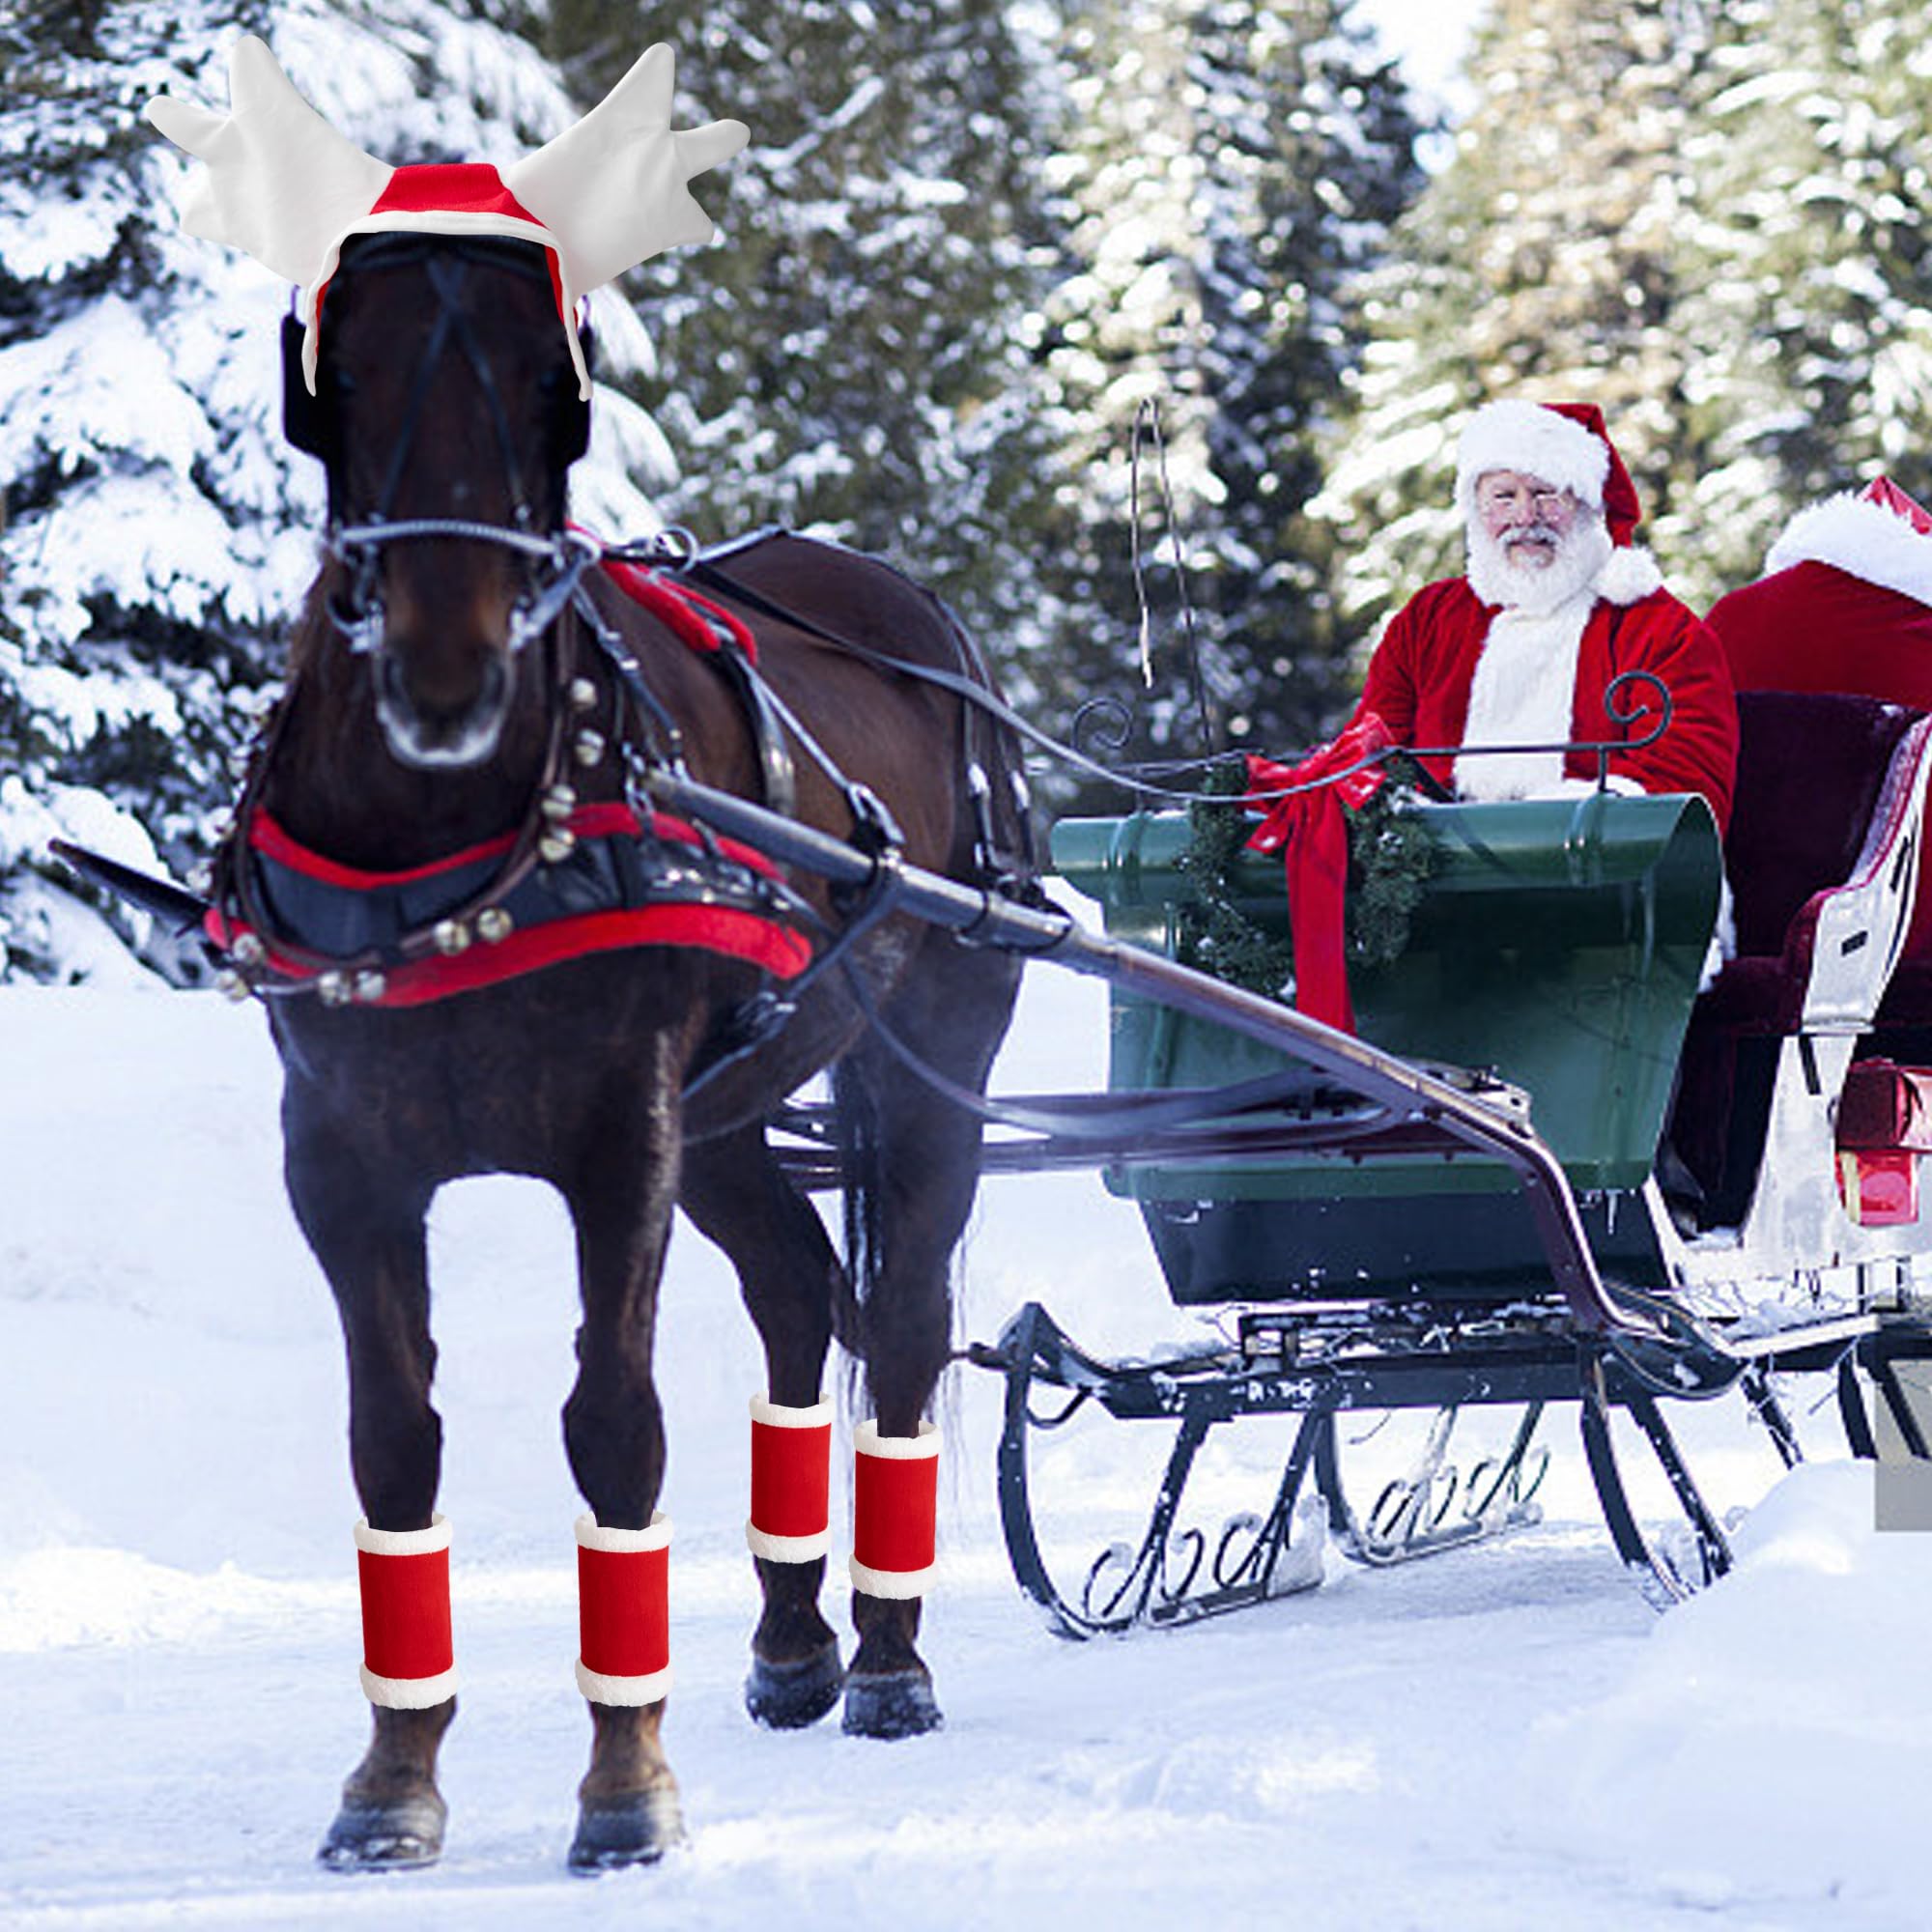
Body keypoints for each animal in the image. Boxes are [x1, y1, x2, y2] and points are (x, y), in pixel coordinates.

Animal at [229, 230, 1031, 1871]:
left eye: (558, 384)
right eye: (346, 374)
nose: (448, 670)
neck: (459, 846)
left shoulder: (618, 1143)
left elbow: (615, 1424)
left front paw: (625, 1783)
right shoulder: (339, 1160)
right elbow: (391, 1439)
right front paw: (393, 1781)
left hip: (928, 1063)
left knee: (902, 1321)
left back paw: (891, 1657)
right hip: (725, 1115)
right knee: (798, 1290)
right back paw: (794, 1641)